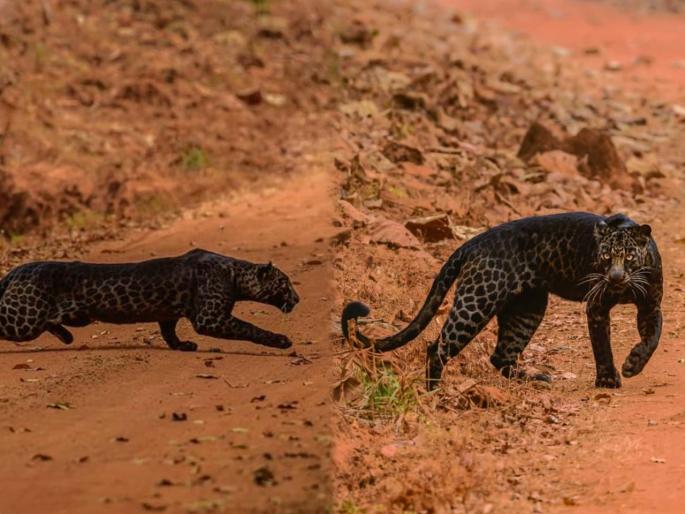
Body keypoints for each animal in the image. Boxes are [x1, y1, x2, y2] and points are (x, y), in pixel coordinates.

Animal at [0, 248, 300, 351]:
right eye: (284, 283)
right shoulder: (210, 318)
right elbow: (249, 327)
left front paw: (182, 346)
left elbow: (168, 332)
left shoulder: (168, 314)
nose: (297, 298)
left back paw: (66, 337)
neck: (235, 274)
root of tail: (17, 269)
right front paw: (281, 341)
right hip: (23, 321)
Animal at [342, 212, 663, 390]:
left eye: (628, 256)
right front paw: (609, 379)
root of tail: (473, 242)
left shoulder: (650, 306)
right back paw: (434, 392)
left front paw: (634, 364)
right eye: (606, 256)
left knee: (501, 355)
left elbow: (652, 338)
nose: (615, 277)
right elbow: (602, 345)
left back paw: (536, 379)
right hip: (478, 300)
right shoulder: (596, 307)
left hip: (527, 307)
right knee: (438, 348)